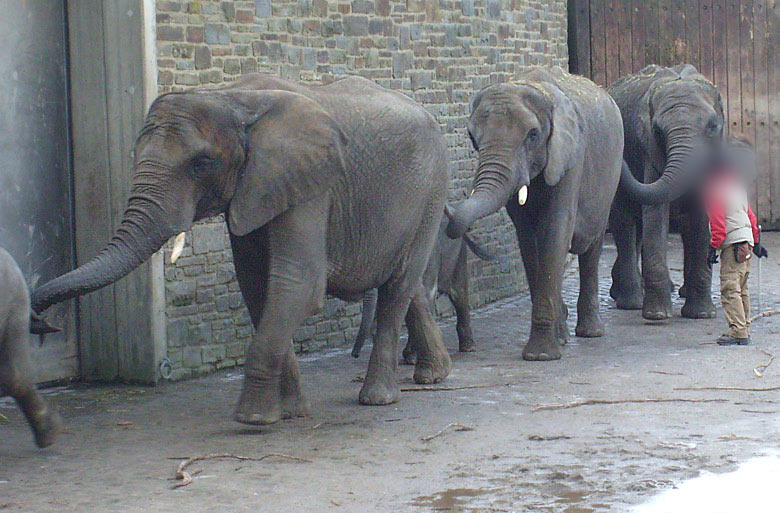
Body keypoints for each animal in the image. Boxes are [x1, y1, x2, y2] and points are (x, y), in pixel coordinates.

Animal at [32, 73, 450, 424]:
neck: (230, 95)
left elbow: (298, 285)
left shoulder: (309, 185)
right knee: (409, 286)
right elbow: (258, 287)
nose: (41, 322)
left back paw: (379, 399)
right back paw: (434, 375)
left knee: (397, 287)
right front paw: (289, 413)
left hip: (431, 191)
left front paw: (252, 419)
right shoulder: (255, 188)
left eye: (201, 163)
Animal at [352, 215, 500, 360]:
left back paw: (468, 347)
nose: (355, 355)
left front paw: (412, 357)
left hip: (458, 257)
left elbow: (425, 297)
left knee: (459, 294)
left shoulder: (429, 260)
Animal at [444, 66, 620, 360]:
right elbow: (528, 239)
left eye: (533, 135)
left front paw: (541, 356)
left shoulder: (570, 155)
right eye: (472, 137)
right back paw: (565, 334)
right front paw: (551, 344)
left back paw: (591, 332)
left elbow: (555, 231)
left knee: (591, 248)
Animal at [608, 64, 724, 320]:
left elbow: (700, 220)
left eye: (713, 126)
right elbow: (655, 212)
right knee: (625, 225)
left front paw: (701, 315)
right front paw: (657, 315)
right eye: (657, 131)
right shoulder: (649, 151)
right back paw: (630, 302)